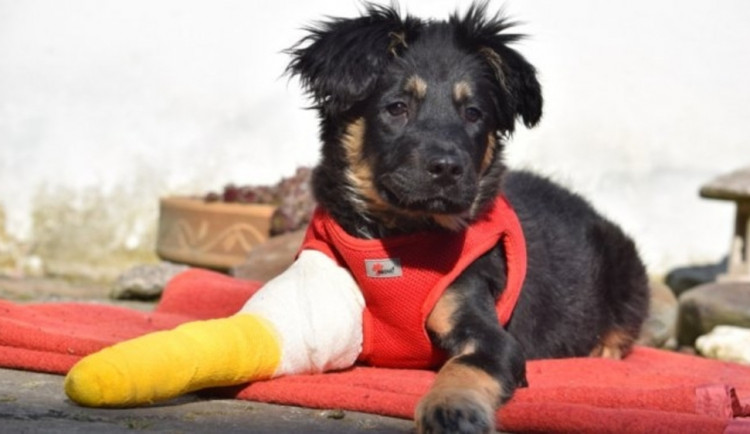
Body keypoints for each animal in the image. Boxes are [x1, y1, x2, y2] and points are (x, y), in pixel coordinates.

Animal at [284, 3, 652, 434]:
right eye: (397, 107)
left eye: (474, 114)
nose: (447, 168)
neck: (399, 236)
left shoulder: (486, 328)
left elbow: (464, 368)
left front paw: (451, 410)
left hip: (624, 265)